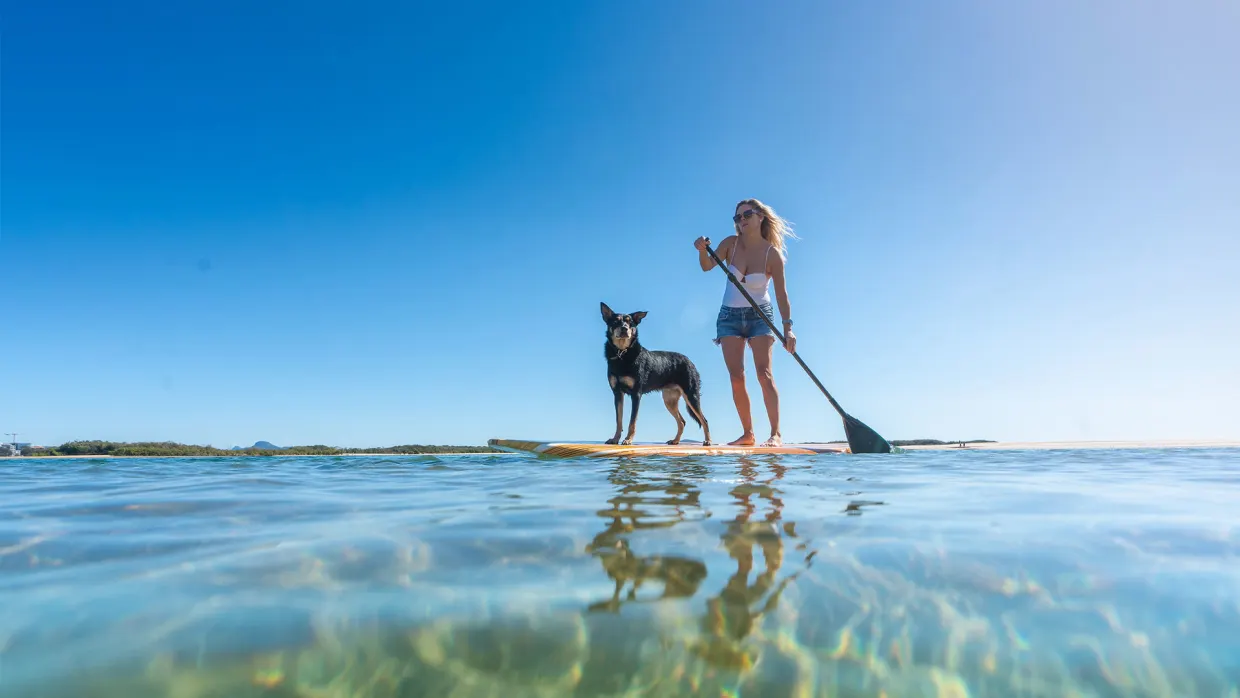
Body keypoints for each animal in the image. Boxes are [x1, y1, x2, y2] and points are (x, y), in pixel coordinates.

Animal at [597, 301, 709, 446]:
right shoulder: (617, 393)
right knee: (682, 421)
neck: (622, 352)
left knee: (703, 419)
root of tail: (689, 361)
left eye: (630, 323)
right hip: (669, 400)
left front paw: (628, 439)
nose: (624, 329)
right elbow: (619, 420)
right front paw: (615, 439)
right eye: (616, 322)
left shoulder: (636, 394)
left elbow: (632, 421)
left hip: (691, 395)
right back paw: (675, 441)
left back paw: (708, 441)